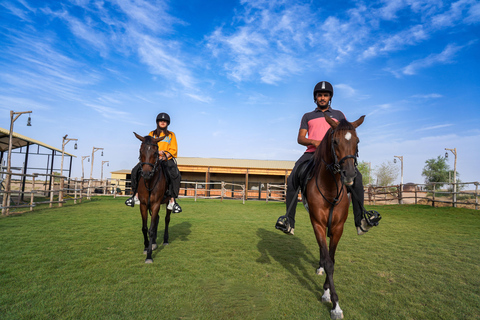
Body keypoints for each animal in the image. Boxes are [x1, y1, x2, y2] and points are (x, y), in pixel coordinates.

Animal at [133, 131, 172, 264]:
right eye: (140, 151)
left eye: (155, 153)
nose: (146, 173)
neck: (149, 182)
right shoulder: (144, 205)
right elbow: (145, 228)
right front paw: (146, 247)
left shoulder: (155, 204)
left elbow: (151, 229)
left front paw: (149, 256)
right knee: (157, 221)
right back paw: (154, 243)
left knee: (166, 219)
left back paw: (165, 240)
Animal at [302, 114, 366, 318]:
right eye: (335, 141)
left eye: (357, 141)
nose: (350, 174)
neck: (330, 189)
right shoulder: (318, 223)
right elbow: (329, 262)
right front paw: (334, 303)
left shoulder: (338, 227)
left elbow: (332, 259)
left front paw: (327, 293)